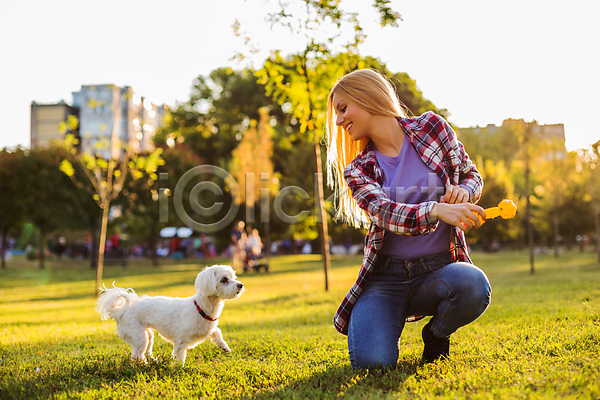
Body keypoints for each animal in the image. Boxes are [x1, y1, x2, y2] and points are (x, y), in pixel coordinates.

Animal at [95, 264, 243, 364]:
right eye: (224, 279)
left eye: (234, 277)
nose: (240, 285)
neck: (201, 308)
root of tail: (121, 312)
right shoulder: (181, 340)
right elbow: (180, 355)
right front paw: (179, 369)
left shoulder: (208, 328)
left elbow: (217, 332)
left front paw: (224, 346)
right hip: (139, 336)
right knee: (137, 355)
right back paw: (144, 365)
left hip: (148, 335)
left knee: (143, 351)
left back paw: (153, 360)